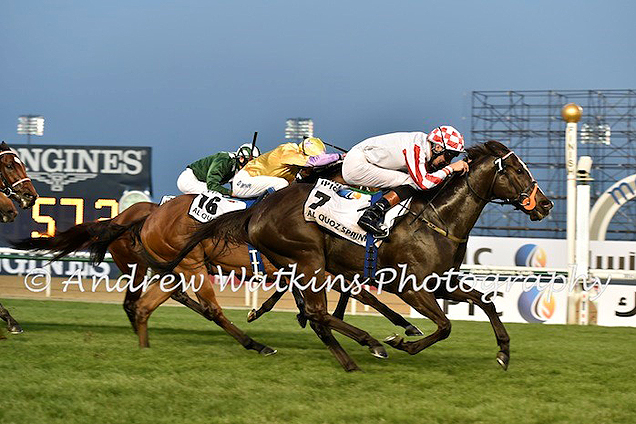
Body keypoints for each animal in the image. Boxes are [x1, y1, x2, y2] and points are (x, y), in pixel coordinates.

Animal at [153, 142, 552, 372]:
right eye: (518, 169)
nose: (545, 204)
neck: (438, 219)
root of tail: (259, 209)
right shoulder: (410, 287)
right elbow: (444, 325)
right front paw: (404, 341)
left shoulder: (440, 283)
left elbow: (484, 301)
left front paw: (503, 352)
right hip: (308, 261)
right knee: (316, 313)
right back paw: (366, 345)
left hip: (301, 265)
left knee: (318, 315)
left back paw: (352, 355)